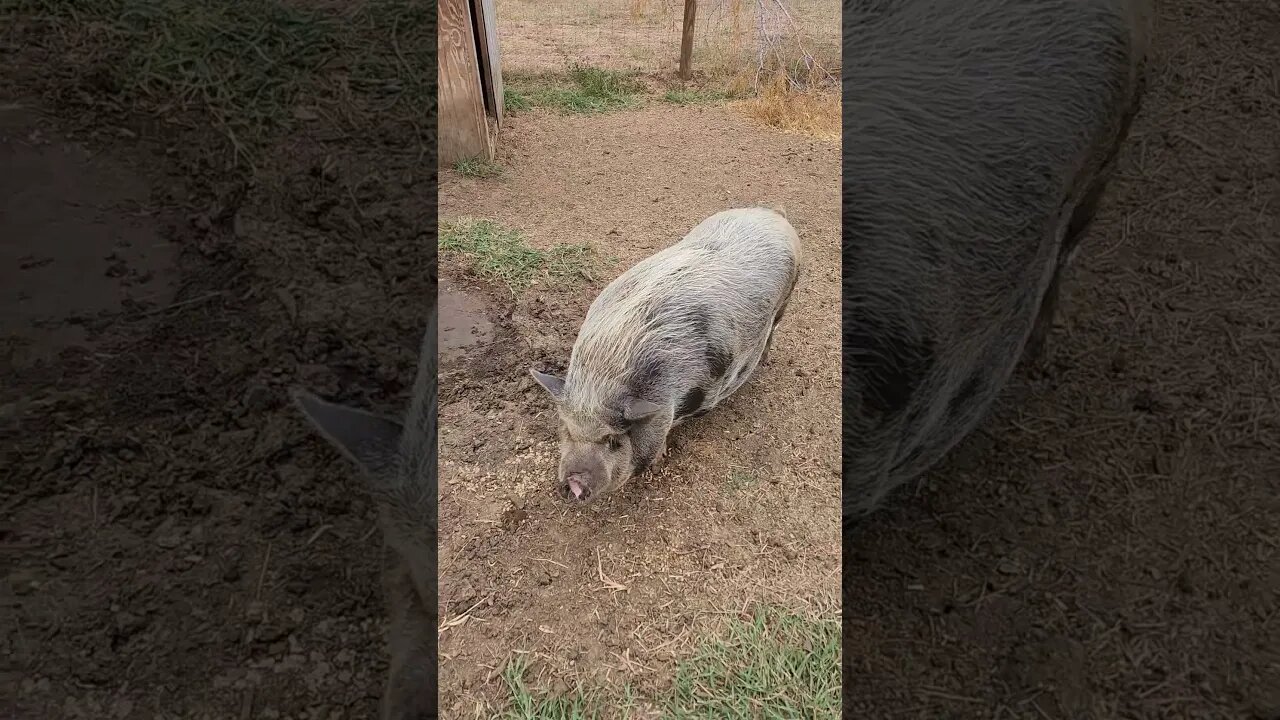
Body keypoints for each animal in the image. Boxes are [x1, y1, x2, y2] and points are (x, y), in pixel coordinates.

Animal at [531, 207, 802, 503]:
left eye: (614, 441)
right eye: (567, 430)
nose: (575, 482)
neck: (604, 373)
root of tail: (771, 213)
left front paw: (658, 461)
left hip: (788, 296)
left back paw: (765, 359)